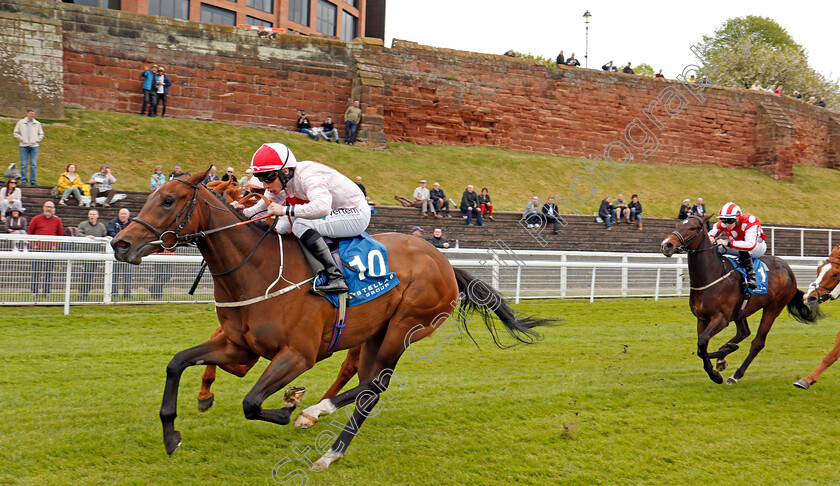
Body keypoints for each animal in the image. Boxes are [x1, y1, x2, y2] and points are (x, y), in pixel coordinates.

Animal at [110, 171, 552, 470]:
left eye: (169, 201)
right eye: (153, 197)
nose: (120, 243)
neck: (257, 268)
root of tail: (444, 262)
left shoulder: (297, 355)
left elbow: (252, 403)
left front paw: (288, 407)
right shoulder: (238, 347)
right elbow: (177, 363)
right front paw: (172, 434)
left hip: (404, 328)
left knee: (373, 387)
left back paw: (323, 434)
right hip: (374, 335)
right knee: (367, 383)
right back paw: (322, 427)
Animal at [660, 215, 816, 386]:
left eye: (692, 228)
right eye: (677, 225)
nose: (667, 244)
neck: (712, 275)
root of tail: (788, 269)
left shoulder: (721, 318)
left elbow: (702, 343)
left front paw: (716, 372)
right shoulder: (702, 318)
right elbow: (701, 347)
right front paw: (719, 362)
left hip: (773, 307)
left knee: (757, 343)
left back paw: (735, 374)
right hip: (741, 311)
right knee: (743, 332)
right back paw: (726, 352)